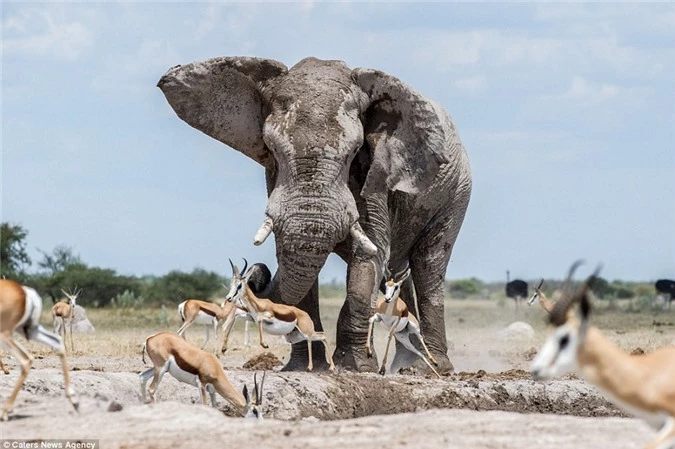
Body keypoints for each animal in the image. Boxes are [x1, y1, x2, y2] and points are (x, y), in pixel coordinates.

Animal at [0, 278, 79, 422]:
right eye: (71, 299)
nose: (73, 304)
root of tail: (25, 291)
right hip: (29, 330)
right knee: (56, 339)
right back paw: (74, 400)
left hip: (8, 332)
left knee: (26, 359)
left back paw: (4, 412)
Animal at [158, 55, 472, 372]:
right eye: (271, 148)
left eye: (355, 151)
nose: (257, 275)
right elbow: (293, 255)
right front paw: (305, 367)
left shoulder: (375, 177)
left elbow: (370, 253)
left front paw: (355, 367)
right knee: (397, 272)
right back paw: (404, 367)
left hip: (457, 193)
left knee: (428, 265)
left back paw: (431, 368)